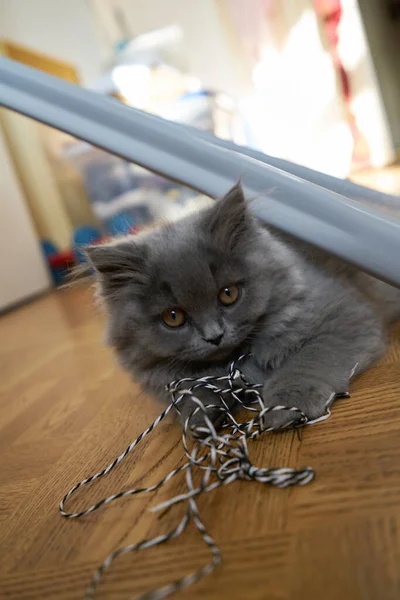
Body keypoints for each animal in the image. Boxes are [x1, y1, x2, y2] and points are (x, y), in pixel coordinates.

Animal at [88, 184, 400, 432]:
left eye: (228, 294)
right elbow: (193, 391)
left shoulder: (342, 316)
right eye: (173, 317)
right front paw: (200, 415)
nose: (214, 336)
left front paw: (287, 406)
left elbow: (308, 360)